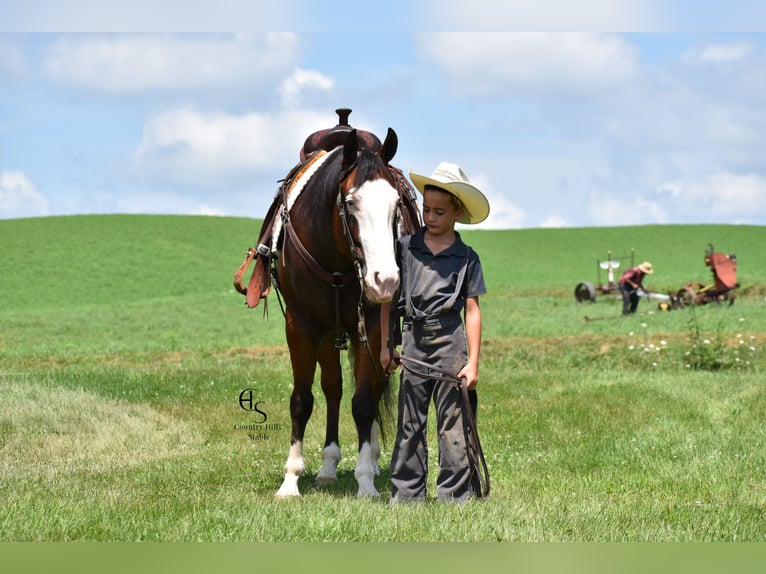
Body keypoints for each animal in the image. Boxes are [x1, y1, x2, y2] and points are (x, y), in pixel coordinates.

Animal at [265, 127, 418, 497]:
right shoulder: (301, 326)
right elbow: (302, 400)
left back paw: (372, 462)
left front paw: (365, 482)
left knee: (372, 388)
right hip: (326, 335)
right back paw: (327, 467)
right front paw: (290, 480)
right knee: (332, 387)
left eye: (396, 204)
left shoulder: (372, 326)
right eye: (350, 203)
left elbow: (363, 402)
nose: (385, 280)